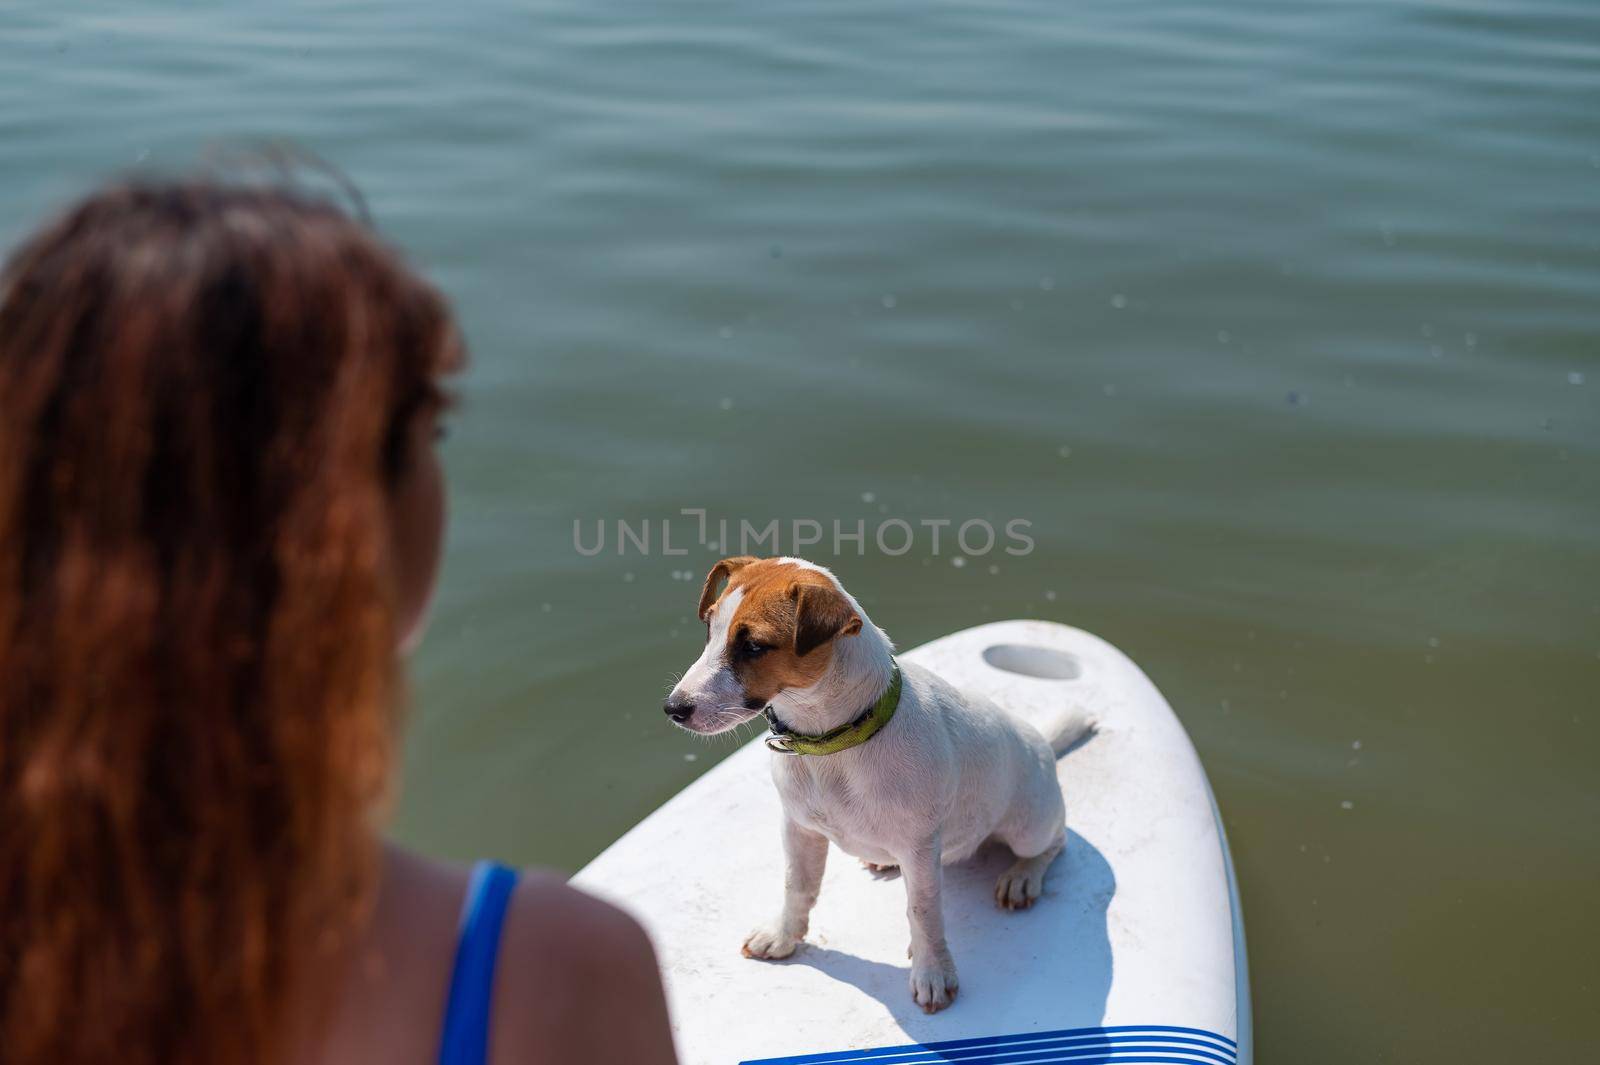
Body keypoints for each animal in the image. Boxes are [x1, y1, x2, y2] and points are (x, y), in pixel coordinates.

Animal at [662, 556, 1088, 1010]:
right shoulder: (799, 828)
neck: (831, 745)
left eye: (754, 646)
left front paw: (933, 972)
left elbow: (923, 913)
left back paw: (1022, 877)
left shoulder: (920, 850)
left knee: (1055, 842)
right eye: (710, 629)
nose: (673, 708)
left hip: (1029, 827)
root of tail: (1043, 742)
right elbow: (797, 886)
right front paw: (782, 936)